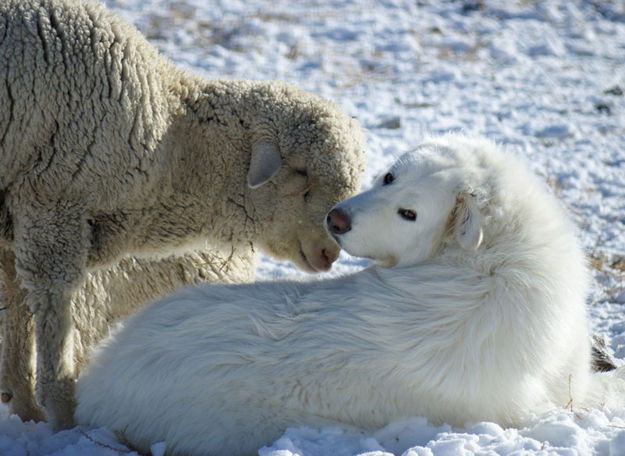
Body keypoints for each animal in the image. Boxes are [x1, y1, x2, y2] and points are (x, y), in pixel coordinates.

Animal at [0, 0, 366, 428]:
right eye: (303, 175)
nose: (331, 252)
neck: (171, 145)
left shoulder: (16, 221)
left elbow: (18, 307)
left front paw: (25, 406)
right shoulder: (53, 205)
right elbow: (53, 308)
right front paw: (61, 413)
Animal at [74, 134, 624, 456]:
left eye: (409, 214)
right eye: (389, 176)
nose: (335, 219)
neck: (487, 259)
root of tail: (97, 387)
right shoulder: (561, 391)